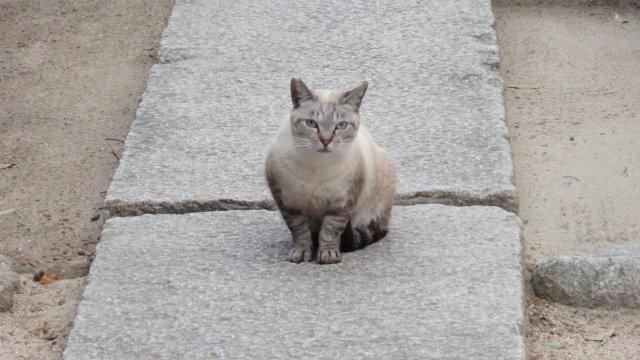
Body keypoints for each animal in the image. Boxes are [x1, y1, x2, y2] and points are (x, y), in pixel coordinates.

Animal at [264, 79, 396, 264]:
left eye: (341, 126)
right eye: (311, 123)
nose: (326, 140)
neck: (317, 167)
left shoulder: (341, 204)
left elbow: (330, 230)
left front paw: (328, 255)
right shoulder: (288, 203)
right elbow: (299, 231)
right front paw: (301, 253)